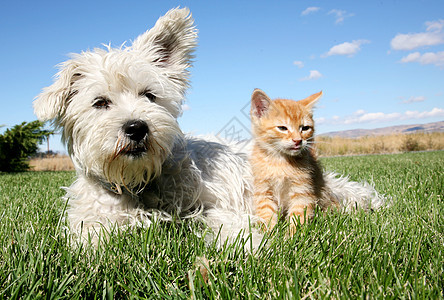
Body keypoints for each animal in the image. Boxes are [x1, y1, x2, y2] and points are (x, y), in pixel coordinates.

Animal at [250, 88, 336, 233]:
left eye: (305, 128)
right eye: (282, 128)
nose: (298, 140)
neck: (280, 161)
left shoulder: (302, 190)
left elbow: (298, 215)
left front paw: (292, 235)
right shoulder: (263, 190)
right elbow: (267, 213)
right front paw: (269, 235)